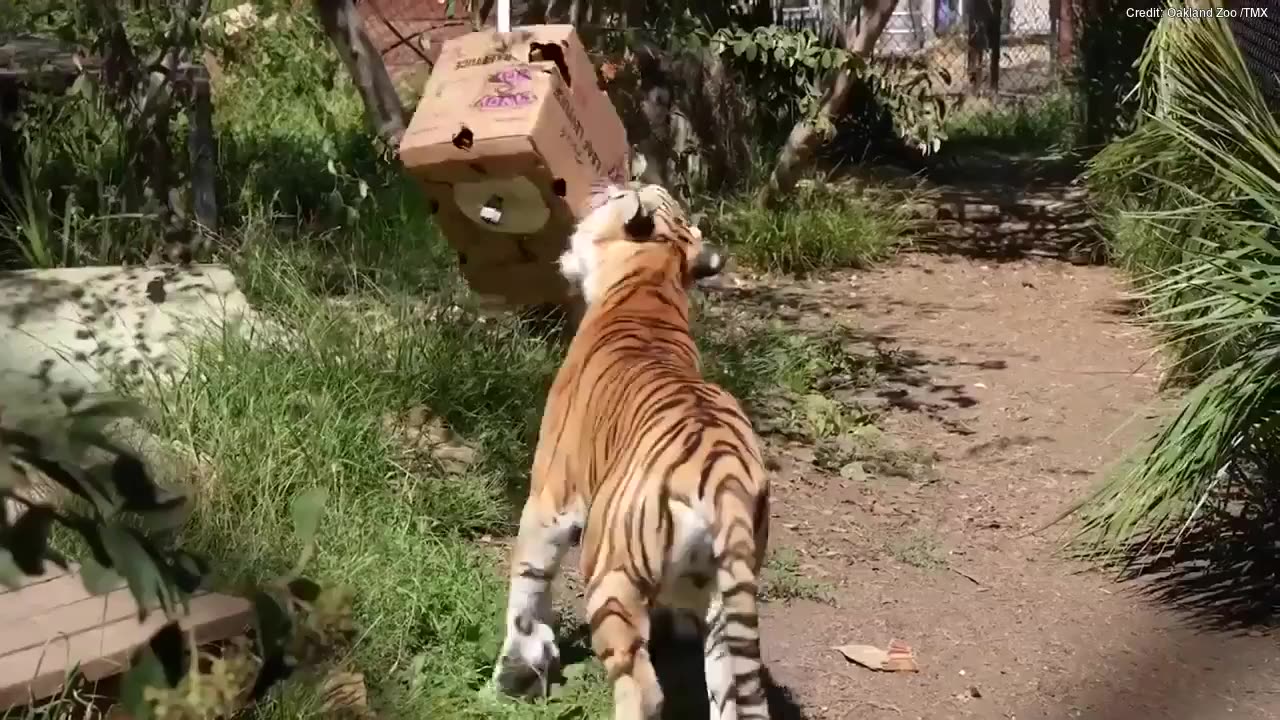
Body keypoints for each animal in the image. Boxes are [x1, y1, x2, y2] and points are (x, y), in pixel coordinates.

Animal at [486, 180, 768, 717]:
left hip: (610, 576)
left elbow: (527, 584)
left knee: (642, 687)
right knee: (731, 698)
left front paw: (513, 671)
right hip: (725, 605)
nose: (620, 180)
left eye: (628, 193)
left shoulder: (551, 496)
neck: (653, 276)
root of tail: (725, 475)